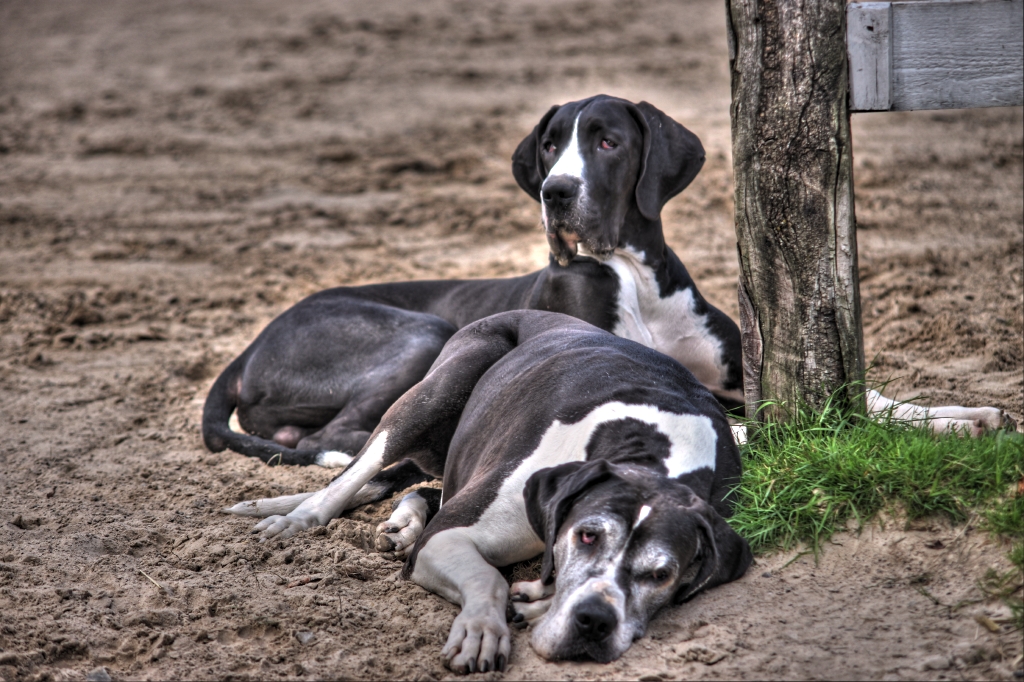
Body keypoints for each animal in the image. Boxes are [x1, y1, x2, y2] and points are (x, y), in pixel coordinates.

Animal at [224, 311, 753, 671]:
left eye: (662, 575)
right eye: (587, 536)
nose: (593, 623)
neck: (650, 453)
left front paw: (536, 601)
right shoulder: (450, 535)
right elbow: (488, 579)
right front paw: (483, 628)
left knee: (418, 485)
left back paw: (404, 522)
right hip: (439, 386)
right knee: (355, 472)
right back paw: (297, 516)